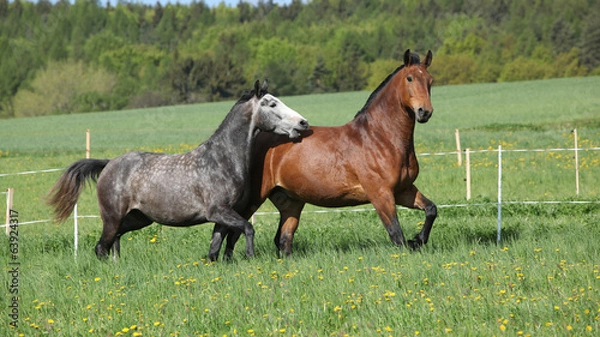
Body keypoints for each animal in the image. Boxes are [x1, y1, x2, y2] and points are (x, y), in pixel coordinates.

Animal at [47, 81, 310, 260]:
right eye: (272, 103)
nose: (303, 123)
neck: (221, 159)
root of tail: (109, 163)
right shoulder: (219, 211)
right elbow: (248, 228)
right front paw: (250, 257)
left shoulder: (222, 217)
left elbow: (214, 248)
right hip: (112, 216)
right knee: (102, 246)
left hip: (138, 218)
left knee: (115, 240)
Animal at [213, 49, 438, 258]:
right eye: (410, 78)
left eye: (430, 80)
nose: (424, 112)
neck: (380, 138)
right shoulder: (381, 195)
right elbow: (396, 235)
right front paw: (412, 244)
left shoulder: (403, 190)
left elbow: (431, 209)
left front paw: (418, 239)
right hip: (253, 198)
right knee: (230, 231)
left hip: (291, 202)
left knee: (283, 239)